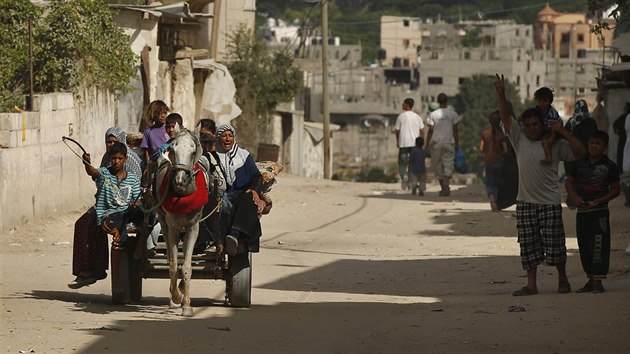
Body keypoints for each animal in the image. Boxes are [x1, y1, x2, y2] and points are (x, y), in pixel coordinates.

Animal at [155, 125, 206, 318]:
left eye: (193, 151)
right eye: (173, 149)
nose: (180, 181)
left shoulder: (193, 227)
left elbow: (187, 267)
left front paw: (187, 306)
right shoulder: (172, 228)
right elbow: (173, 264)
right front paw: (176, 297)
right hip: (164, 223)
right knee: (171, 257)